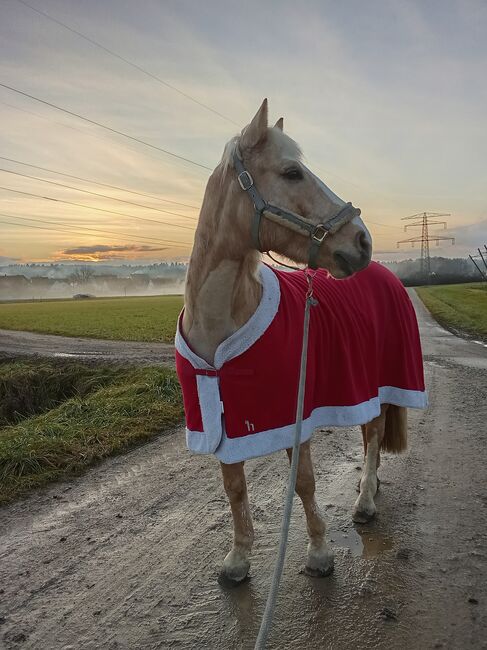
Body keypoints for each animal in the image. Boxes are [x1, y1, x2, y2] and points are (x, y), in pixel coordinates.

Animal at [175, 99, 426, 586]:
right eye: (292, 172)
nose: (362, 241)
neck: (221, 326)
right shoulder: (222, 424)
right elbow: (234, 488)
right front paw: (238, 559)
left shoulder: (297, 413)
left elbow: (304, 482)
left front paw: (319, 553)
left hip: (381, 382)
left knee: (373, 434)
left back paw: (365, 501)